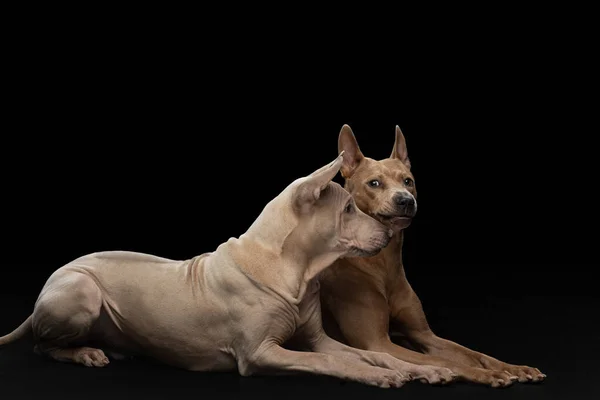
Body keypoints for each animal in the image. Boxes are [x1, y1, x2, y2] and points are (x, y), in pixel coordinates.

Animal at [0, 153, 454, 388]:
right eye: (347, 209)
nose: (393, 225)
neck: (295, 270)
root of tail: (58, 273)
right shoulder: (261, 353)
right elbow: (334, 363)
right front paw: (378, 376)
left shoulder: (319, 338)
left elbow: (373, 353)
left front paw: (423, 369)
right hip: (82, 291)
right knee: (42, 345)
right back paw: (86, 352)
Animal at [318, 126, 548, 388]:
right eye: (374, 183)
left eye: (408, 181)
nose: (406, 200)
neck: (383, 265)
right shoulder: (377, 343)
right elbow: (443, 361)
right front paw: (485, 374)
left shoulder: (425, 336)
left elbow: (475, 354)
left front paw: (513, 367)